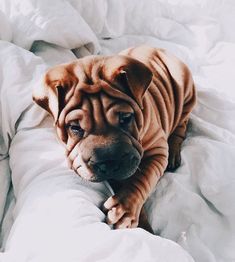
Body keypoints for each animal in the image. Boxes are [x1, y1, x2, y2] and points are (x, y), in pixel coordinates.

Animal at [32, 45, 196, 233]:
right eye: (74, 127)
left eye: (125, 118)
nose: (109, 162)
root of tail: (159, 49)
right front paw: (141, 223)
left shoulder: (158, 151)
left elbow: (142, 178)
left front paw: (125, 210)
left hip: (186, 90)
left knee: (182, 123)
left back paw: (174, 152)